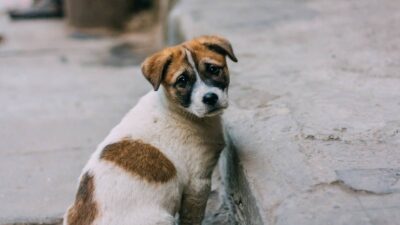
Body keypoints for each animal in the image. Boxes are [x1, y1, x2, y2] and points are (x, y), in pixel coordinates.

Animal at [63, 35, 238, 225]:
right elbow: (192, 218)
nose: (210, 98)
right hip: (162, 219)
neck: (180, 112)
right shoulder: (198, 184)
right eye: (182, 81)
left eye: (214, 69)